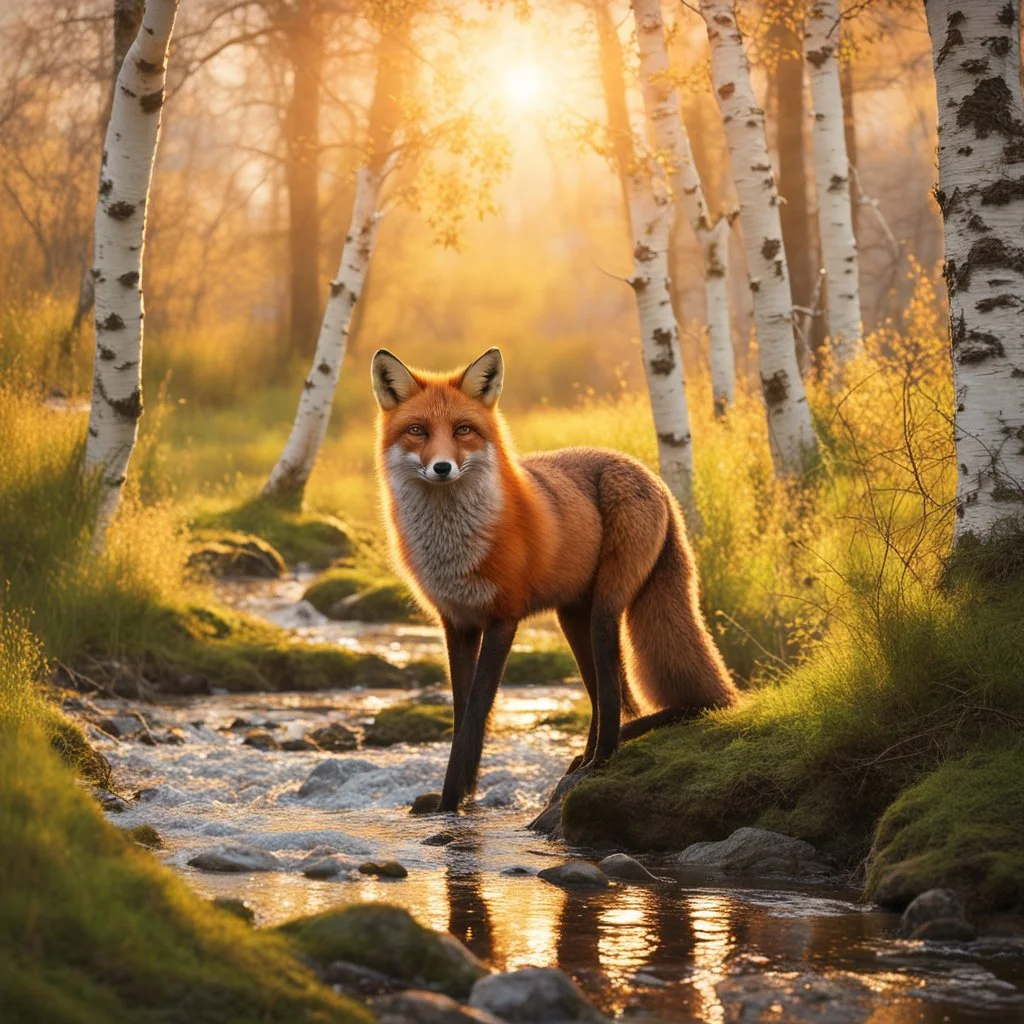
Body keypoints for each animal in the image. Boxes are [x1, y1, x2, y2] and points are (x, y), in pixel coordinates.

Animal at [370, 348, 737, 811]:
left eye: (463, 430)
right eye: (417, 431)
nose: (442, 467)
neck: (453, 550)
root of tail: (651, 476)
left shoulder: (503, 617)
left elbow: (475, 715)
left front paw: (451, 804)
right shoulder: (457, 623)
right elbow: (459, 715)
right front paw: (461, 799)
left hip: (604, 613)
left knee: (612, 692)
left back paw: (599, 763)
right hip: (573, 619)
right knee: (601, 692)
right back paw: (583, 760)